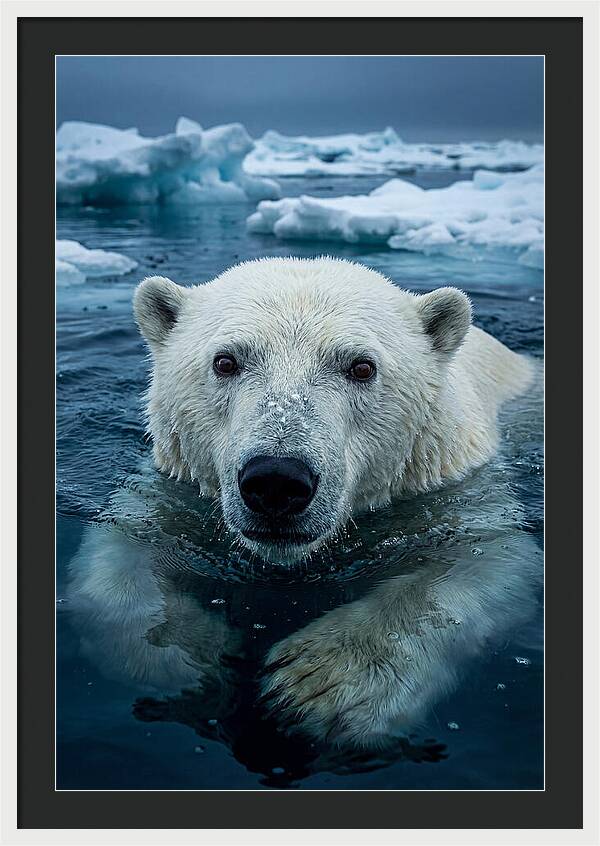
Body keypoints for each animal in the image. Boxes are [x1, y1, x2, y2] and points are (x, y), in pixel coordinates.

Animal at [65, 257, 541, 765]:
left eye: (361, 366)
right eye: (225, 361)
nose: (276, 480)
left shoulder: (454, 490)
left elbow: (487, 560)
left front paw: (320, 684)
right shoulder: (173, 491)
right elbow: (121, 554)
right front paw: (191, 658)